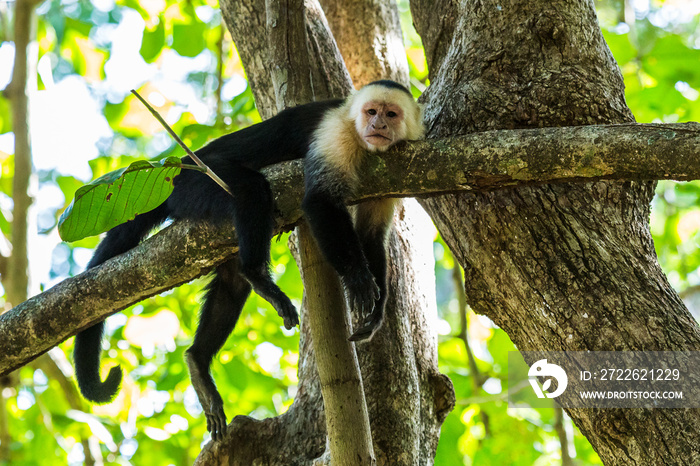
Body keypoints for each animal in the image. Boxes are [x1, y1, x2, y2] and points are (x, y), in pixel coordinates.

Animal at [76, 80, 426, 440]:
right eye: (371, 112)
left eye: (391, 114)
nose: (378, 125)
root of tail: (174, 172)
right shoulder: (336, 134)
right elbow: (319, 201)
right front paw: (357, 279)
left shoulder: (389, 176)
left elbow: (371, 235)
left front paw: (377, 311)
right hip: (196, 183)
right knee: (251, 188)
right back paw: (258, 276)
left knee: (231, 284)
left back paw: (198, 361)